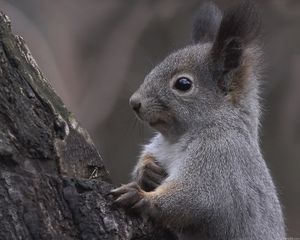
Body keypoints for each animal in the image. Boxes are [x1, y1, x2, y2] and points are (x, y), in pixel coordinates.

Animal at [110, 0, 286, 239]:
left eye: (183, 84)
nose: (134, 102)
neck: (175, 139)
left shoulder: (220, 157)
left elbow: (197, 197)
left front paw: (142, 197)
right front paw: (147, 171)